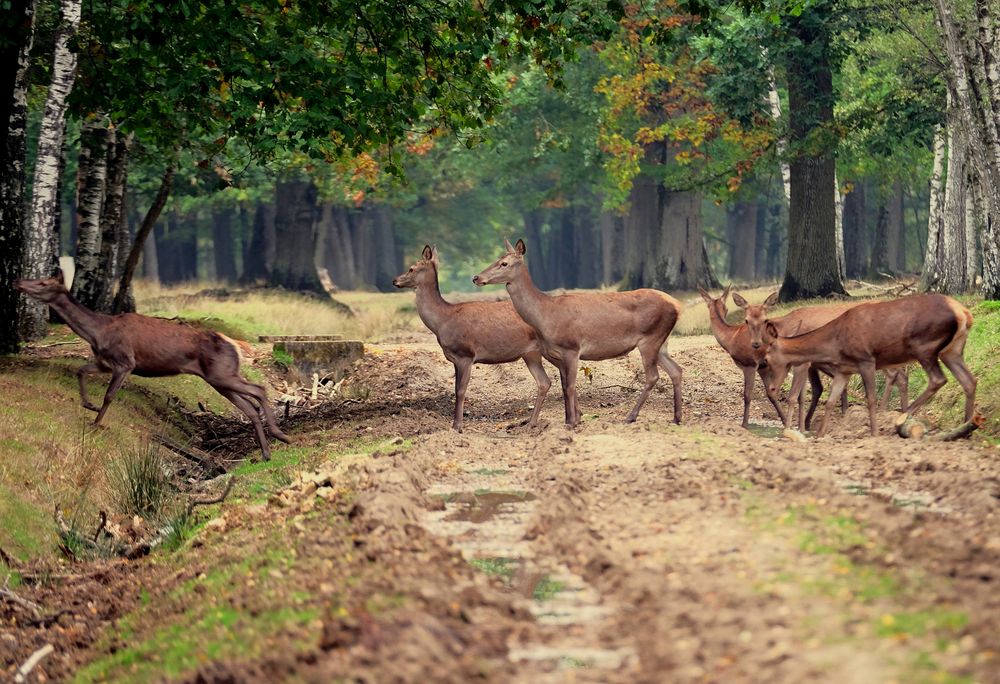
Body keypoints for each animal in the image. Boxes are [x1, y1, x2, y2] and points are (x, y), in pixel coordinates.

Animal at [15, 272, 290, 460]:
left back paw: (281, 435)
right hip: (218, 378)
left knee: (259, 389)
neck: (98, 333)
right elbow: (80, 370)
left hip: (222, 373)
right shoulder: (104, 362)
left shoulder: (125, 361)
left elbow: (109, 395)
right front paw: (88, 405)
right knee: (250, 406)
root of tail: (236, 343)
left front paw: (96, 423)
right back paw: (266, 452)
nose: (19, 282)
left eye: (44, 283)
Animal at [390, 243, 552, 430]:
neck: (442, 320)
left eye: (411, 268)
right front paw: (455, 424)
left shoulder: (465, 354)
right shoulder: (455, 359)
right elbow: (456, 389)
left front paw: (457, 426)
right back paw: (531, 423)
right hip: (530, 354)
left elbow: (460, 390)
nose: (395, 280)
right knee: (544, 382)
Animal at [472, 238, 684, 424]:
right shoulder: (558, 353)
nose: (476, 277)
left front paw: (572, 422)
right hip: (661, 342)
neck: (545, 315)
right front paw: (570, 419)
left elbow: (570, 386)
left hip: (650, 337)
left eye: (504, 263)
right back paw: (676, 417)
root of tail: (677, 305)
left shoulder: (572, 348)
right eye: (496, 259)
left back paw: (631, 416)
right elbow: (564, 386)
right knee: (676, 370)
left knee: (653, 376)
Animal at [732, 290, 912, 430]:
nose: (755, 344)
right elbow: (812, 391)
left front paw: (800, 426)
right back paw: (904, 413)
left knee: (894, 375)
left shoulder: (803, 362)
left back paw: (884, 412)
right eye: (746, 320)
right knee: (902, 376)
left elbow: (802, 394)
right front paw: (805, 424)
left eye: (764, 319)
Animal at [760, 292, 972, 436]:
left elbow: (870, 399)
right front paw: (820, 434)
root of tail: (964, 312)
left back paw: (902, 417)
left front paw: (874, 432)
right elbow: (830, 401)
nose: (772, 387)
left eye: (767, 358)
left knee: (937, 379)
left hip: (925, 347)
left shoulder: (866, 360)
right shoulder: (844, 370)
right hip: (953, 351)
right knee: (969, 380)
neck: (835, 342)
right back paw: (966, 426)